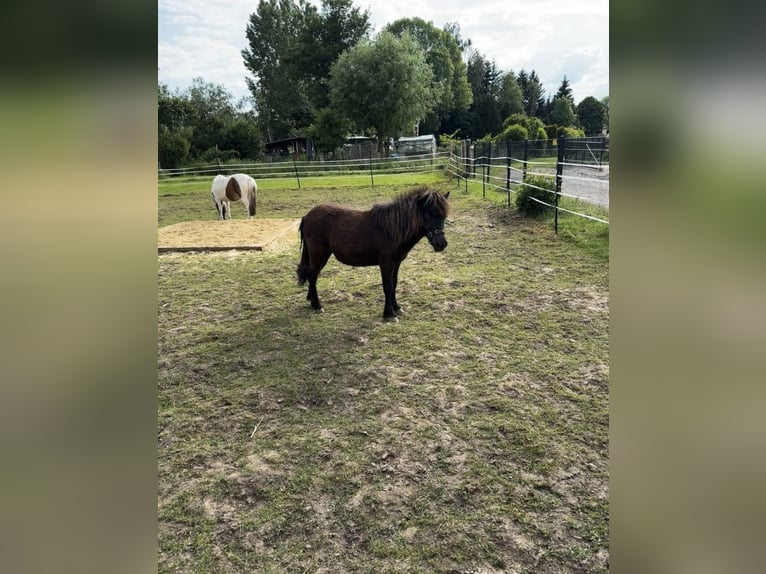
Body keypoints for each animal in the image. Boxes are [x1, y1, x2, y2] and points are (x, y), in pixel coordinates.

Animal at [294, 187, 450, 320]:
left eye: (443, 217)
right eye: (428, 215)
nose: (441, 244)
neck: (392, 229)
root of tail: (307, 216)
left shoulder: (396, 262)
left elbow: (394, 284)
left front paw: (397, 307)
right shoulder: (386, 263)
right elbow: (388, 286)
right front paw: (389, 314)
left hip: (323, 256)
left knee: (312, 275)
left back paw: (311, 300)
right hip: (318, 254)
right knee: (312, 275)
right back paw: (317, 305)